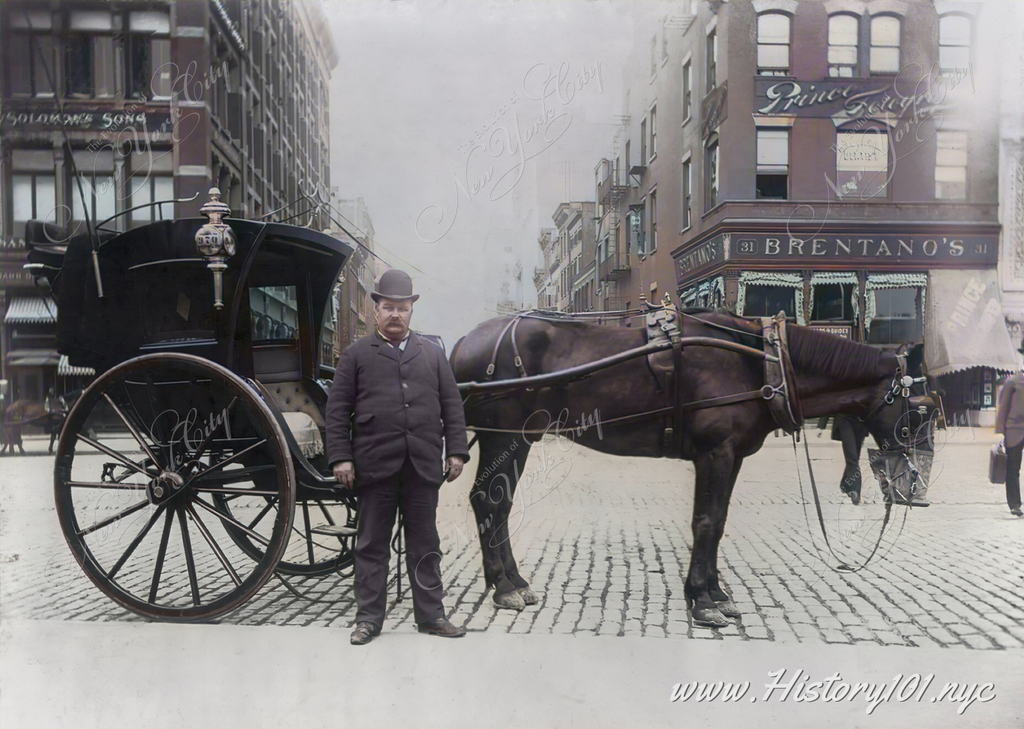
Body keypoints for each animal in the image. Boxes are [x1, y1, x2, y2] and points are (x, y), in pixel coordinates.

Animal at [452, 307, 933, 626]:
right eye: (919, 411)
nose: (915, 487)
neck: (760, 361)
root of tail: (463, 344)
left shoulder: (731, 456)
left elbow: (717, 522)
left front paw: (715, 592)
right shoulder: (714, 453)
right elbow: (705, 521)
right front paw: (702, 599)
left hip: (519, 439)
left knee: (497, 506)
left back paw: (512, 581)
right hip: (505, 438)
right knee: (488, 502)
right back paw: (505, 587)